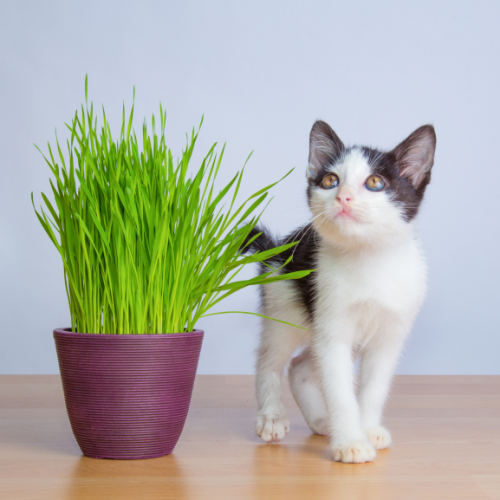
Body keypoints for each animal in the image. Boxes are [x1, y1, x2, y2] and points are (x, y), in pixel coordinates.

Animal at [248, 119, 436, 462]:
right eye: (330, 181)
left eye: (375, 182)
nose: (343, 197)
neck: (369, 261)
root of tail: (277, 249)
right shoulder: (333, 330)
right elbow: (339, 389)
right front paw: (350, 442)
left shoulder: (389, 335)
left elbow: (374, 387)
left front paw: (368, 429)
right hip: (285, 308)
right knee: (269, 361)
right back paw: (271, 416)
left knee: (299, 367)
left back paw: (320, 421)